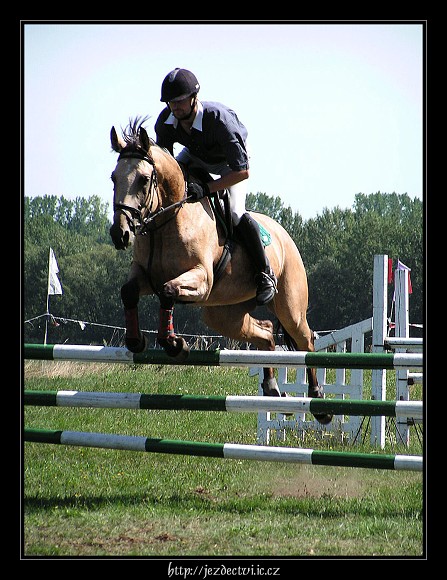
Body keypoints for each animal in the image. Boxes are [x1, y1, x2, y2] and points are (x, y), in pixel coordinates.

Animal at [109, 119, 332, 426]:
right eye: (113, 178)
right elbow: (129, 291)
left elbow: (168, 291)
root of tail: (284, 234)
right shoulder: (144, 275)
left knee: (305, 341)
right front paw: (136, 340)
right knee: (266, 332)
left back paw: (319, 403)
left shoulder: (201, 279)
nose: (120, 234)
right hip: (223, 314)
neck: (166, 223)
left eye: (143, 179)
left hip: (290, 307)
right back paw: (273, 390)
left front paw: (174, 344)